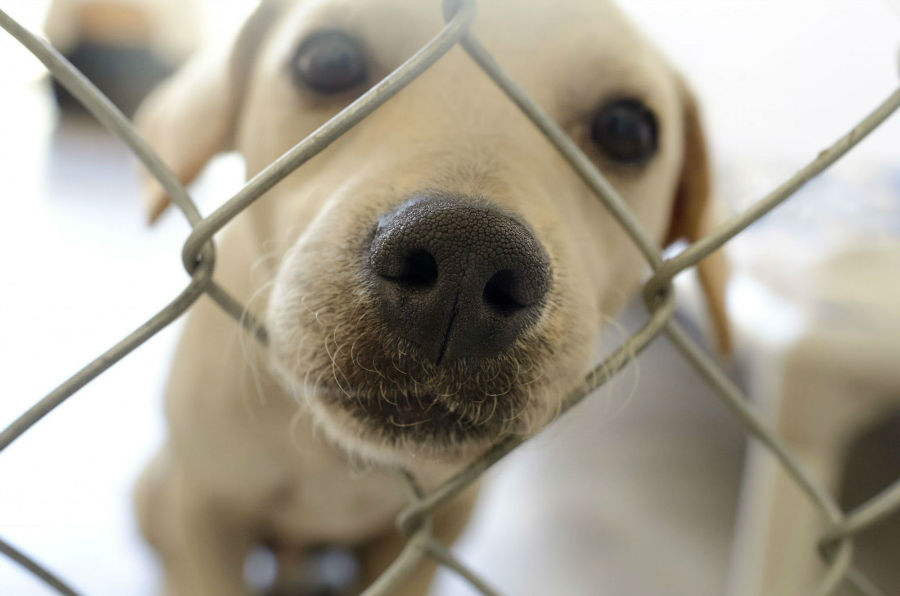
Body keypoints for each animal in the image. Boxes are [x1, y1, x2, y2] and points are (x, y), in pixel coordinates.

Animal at [134, 2, 728, 592]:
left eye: (626, 128)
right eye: (328, 60)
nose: (467, 259)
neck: (338, 459)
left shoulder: (437, 528)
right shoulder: (201, 510)